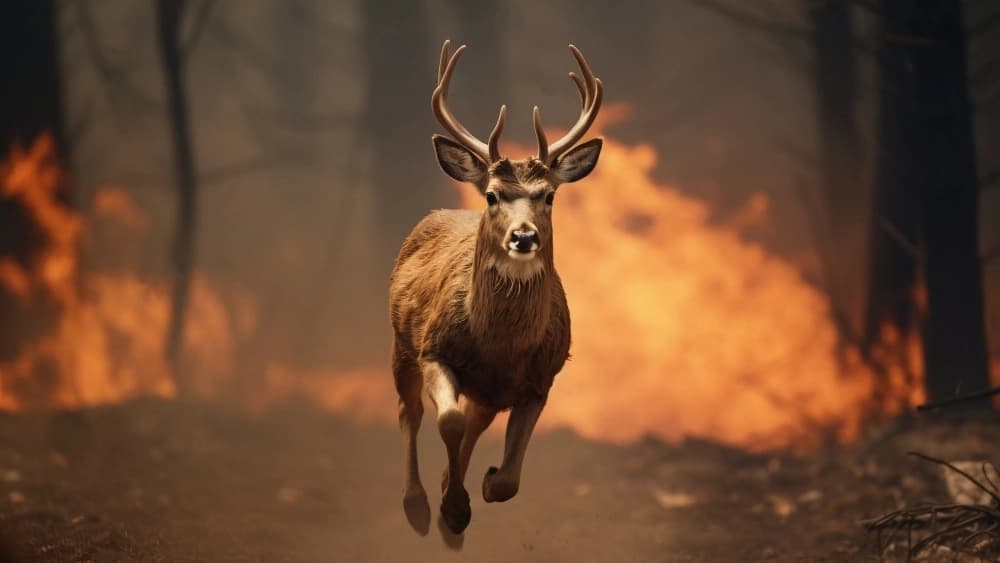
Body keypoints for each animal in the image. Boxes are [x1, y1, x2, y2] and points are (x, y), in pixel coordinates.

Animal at [389, 40, 603, 536]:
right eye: (491, 195)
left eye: (549, 195)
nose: (524, 237)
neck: (499, 348)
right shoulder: (434, 349)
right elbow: (448, 421)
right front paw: (453, 508)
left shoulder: (541, 380)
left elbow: (507, 480)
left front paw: (478, 488)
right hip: (401, 344)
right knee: (412, 411)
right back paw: (417, 504)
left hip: (486, 393)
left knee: (474, 421)